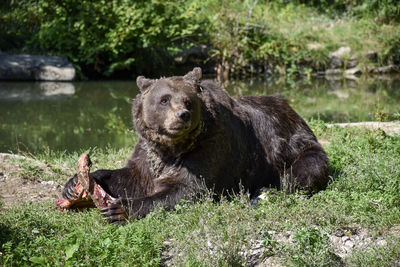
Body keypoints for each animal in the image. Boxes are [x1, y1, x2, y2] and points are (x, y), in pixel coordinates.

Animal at [59, 67, 328, 224]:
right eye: (164, 99)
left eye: (188, 100)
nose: (183, 115)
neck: (172, 146)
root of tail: (293, 112)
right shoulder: (148, 151)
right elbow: (132, 175)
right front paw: (75, 184)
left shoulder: (209, 148)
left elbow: (187, 188)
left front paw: (120, 209)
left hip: (297, 147)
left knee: (301, 173)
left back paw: (265, 192)